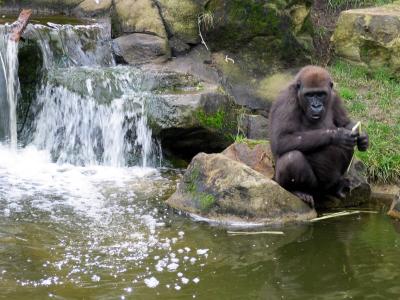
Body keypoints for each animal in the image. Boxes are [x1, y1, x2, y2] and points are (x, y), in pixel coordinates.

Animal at [268, 66, 368, 206]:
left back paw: (337, 187)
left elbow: (345, 123)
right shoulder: (286, 100)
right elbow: (281, 139)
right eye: (309, 95)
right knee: (292, 158)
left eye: (321, 94)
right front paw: (337, 135)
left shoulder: (334, 96)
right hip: (309, 187)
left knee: (348, 147)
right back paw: (298, 191)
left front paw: (363, 138)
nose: (316, 106)